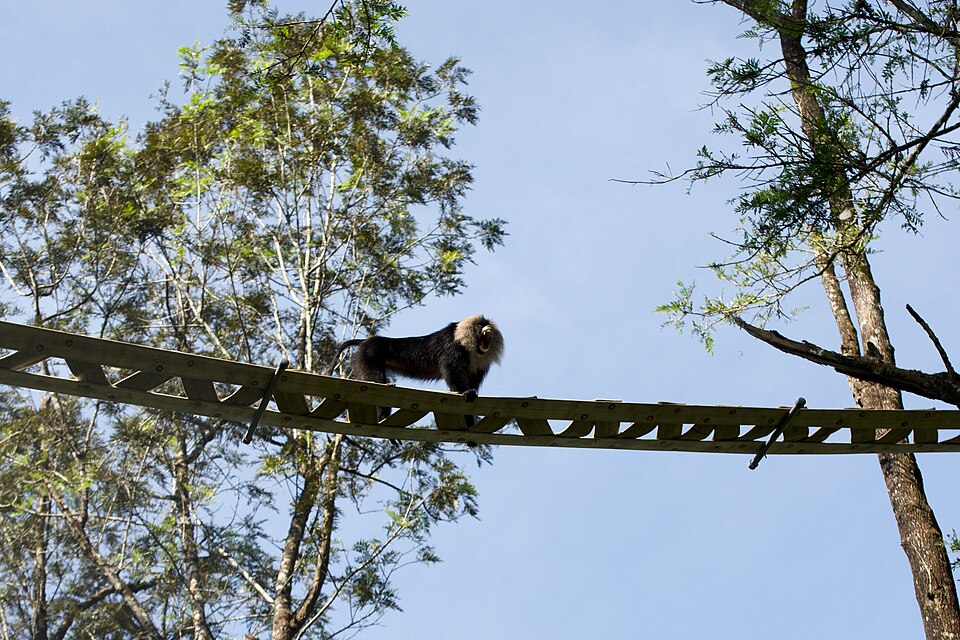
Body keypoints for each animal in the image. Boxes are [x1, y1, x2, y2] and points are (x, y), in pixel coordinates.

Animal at [329, 315, 504, 429]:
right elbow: (452, 373)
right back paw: (383, 417)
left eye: (486, 324)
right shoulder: (453, 347)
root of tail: (365, 342)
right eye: (480, 325)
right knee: (376, 383)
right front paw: (466, 393)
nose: (488, 328)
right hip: (367, 357)